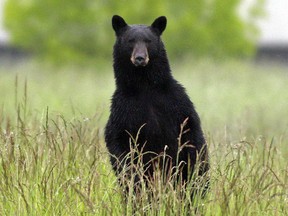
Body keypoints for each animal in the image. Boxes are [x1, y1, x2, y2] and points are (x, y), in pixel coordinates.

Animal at [104, 14, 208, 194]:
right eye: (130, 41)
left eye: (148, 41)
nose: (140, 58)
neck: (145, 86)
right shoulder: (123, 109)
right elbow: (117, 141)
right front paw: (132, 176)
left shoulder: (177, 103)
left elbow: (192, 133)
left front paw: (196, 172)